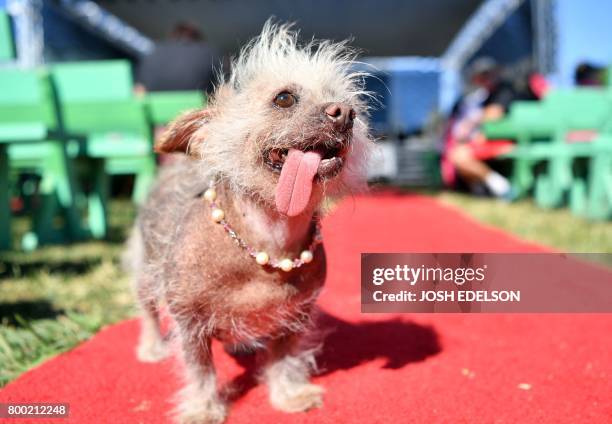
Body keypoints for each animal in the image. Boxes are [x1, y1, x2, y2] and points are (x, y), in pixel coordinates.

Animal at [129, 20, 372, 424]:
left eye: (345, 101)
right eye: (284, 98)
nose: (345, 112)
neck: (267, 243)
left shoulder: (295, 317)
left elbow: (284, 359)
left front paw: (288, 394)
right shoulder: (188, 321)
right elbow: (200, 370)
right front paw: (202, 409)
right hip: (145, 266)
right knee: (147, 307)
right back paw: (151, 346)